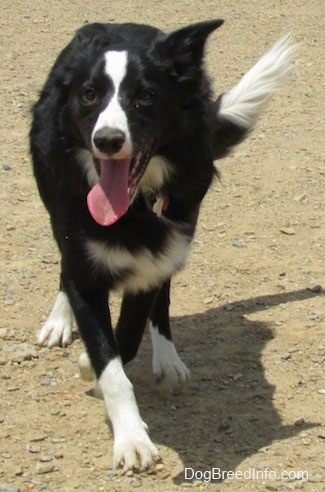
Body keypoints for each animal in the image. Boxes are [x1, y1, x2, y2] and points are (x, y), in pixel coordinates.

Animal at [29, 19, 294, 470]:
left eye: (147, 96)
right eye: (89, 94)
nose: (108, 140)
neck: (136, 205)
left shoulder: (157, 257)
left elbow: (128, 337)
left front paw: (99, 364)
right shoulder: (83, 261)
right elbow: (108, 358)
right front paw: (131, 439)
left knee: (163, 298)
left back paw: (168, 358)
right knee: (64, 267)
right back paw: (59, 320)